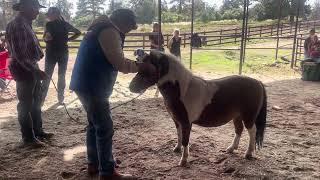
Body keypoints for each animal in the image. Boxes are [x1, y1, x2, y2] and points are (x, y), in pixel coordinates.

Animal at [129, 50, 266, 166]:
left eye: (147, 68)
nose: (131, 87)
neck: (182, 91)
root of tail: (258, 82)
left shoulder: (186, 123)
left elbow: (185, 140)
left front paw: (183, 161)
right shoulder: (177, 121)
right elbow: (179, 135)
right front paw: (177, 149)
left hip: (248, 117)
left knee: (252, 131)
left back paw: (248, 153)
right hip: (236, 116)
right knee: (239, 130)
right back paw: (231, 149)